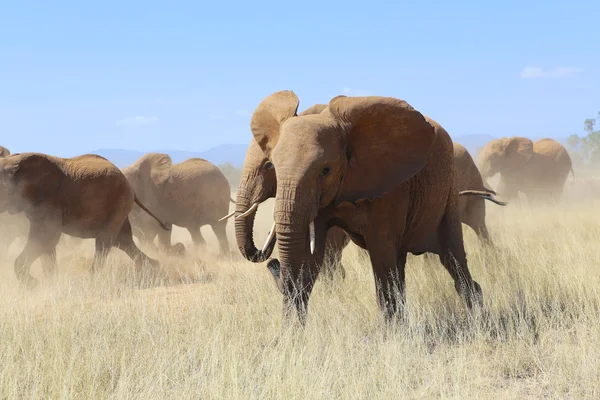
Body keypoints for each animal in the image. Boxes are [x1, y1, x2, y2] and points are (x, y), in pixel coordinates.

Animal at [0, 152, 169, 288]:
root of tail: (131, 188)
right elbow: (46, 242)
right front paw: (50, 281)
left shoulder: (49, 199)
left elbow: (46, 237)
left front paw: (34, 284)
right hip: (119, 205)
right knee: (123, 240)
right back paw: (154, 267)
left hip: (119, 202)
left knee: (105, 242)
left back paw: (90, 278)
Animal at [246, 90, 486, 324]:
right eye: (272, 166)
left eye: (325, 170)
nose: (273, 262)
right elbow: (310, 254)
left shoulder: (390, 186)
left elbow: (381, 250)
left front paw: (392, 332)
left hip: (449, 190)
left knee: (452, 258)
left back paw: (479, 319)